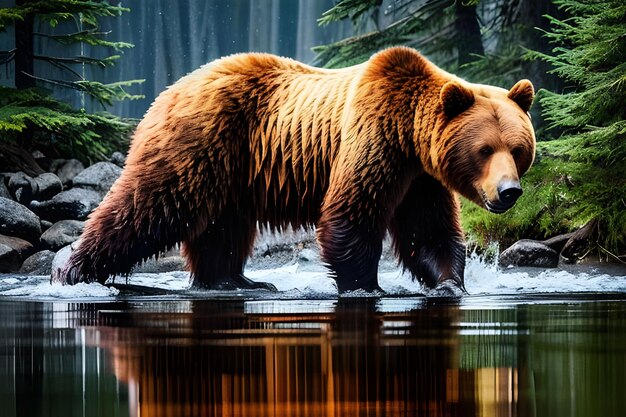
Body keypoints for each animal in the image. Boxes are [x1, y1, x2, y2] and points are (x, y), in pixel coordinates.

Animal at [51, 46, 532, 292]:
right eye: (484, 149)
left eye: (518, 148)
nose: (509, 191)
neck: (407, 134)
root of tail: (171, 88)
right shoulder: (374, 143)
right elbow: (350, 215)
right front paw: (366, 285)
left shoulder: (420, 179)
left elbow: (427, 231)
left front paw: (450, 283)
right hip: (199, 140)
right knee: (151, 205)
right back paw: (73, 270)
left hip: (232, 169)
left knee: (222, 227)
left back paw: (235, 281)